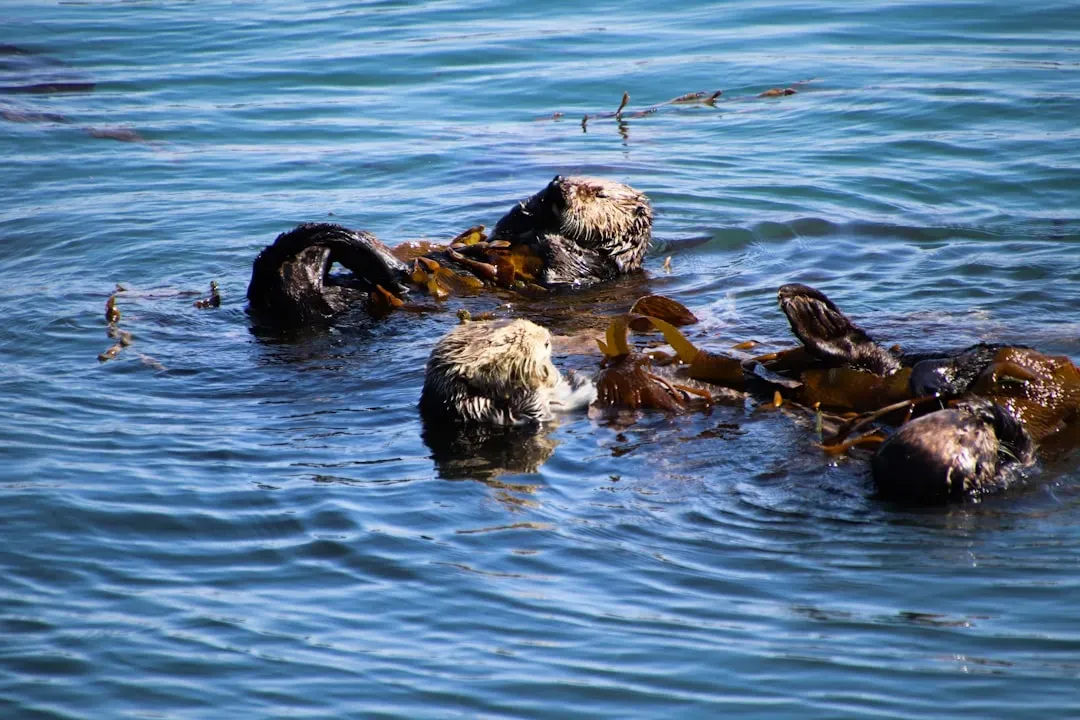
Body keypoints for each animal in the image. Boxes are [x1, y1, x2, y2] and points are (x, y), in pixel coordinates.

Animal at [246, 176, 652, 327]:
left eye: (598, 192)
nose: (560, 186)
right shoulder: (507, 233)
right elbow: (503, 229)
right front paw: (533, 204)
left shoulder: (594, 271)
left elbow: (563, 267)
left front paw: (554, 236)